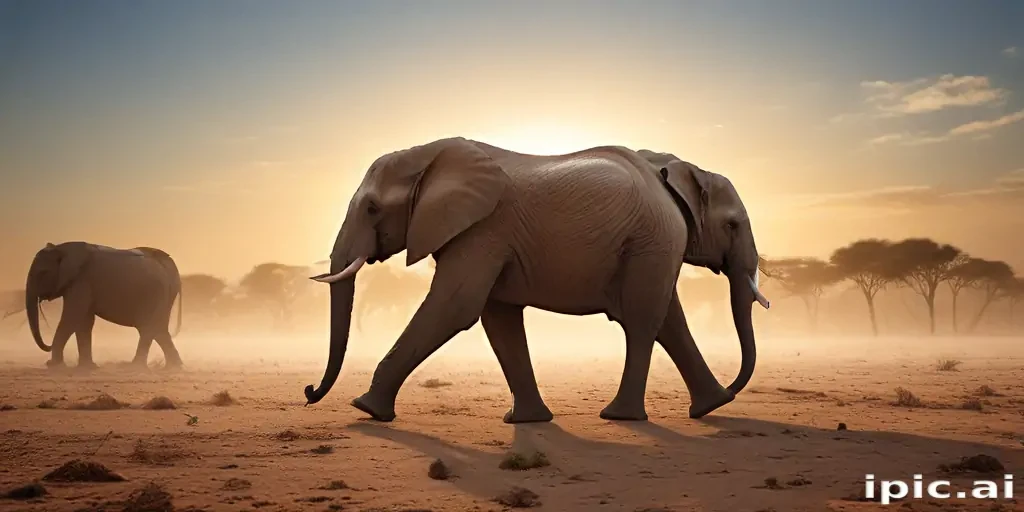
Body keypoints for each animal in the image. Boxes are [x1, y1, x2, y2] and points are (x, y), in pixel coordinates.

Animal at [24, 241, 185, 370]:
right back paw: (173, 366)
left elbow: (72, 318)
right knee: (158, 329)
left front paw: (53, 365)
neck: (61, 248)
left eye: (42, 273)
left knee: (149, 328)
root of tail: (168, 264)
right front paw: (87, 367)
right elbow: (84, 322)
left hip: (154, 294)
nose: (48, 345)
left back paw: (134, 366)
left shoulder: (81, 282)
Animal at [304, 136, 769, 423]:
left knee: (641, 322)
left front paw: (366, 410)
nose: (309, 392)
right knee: (665, 320)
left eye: (371, 209)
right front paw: (526, 422)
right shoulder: (490, 236)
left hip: (648, 241)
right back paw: (709, 408)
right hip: (650, 243)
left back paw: (622, 417)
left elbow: (456, 307)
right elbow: (498, 318)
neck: (429, 155)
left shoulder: (484, 229)